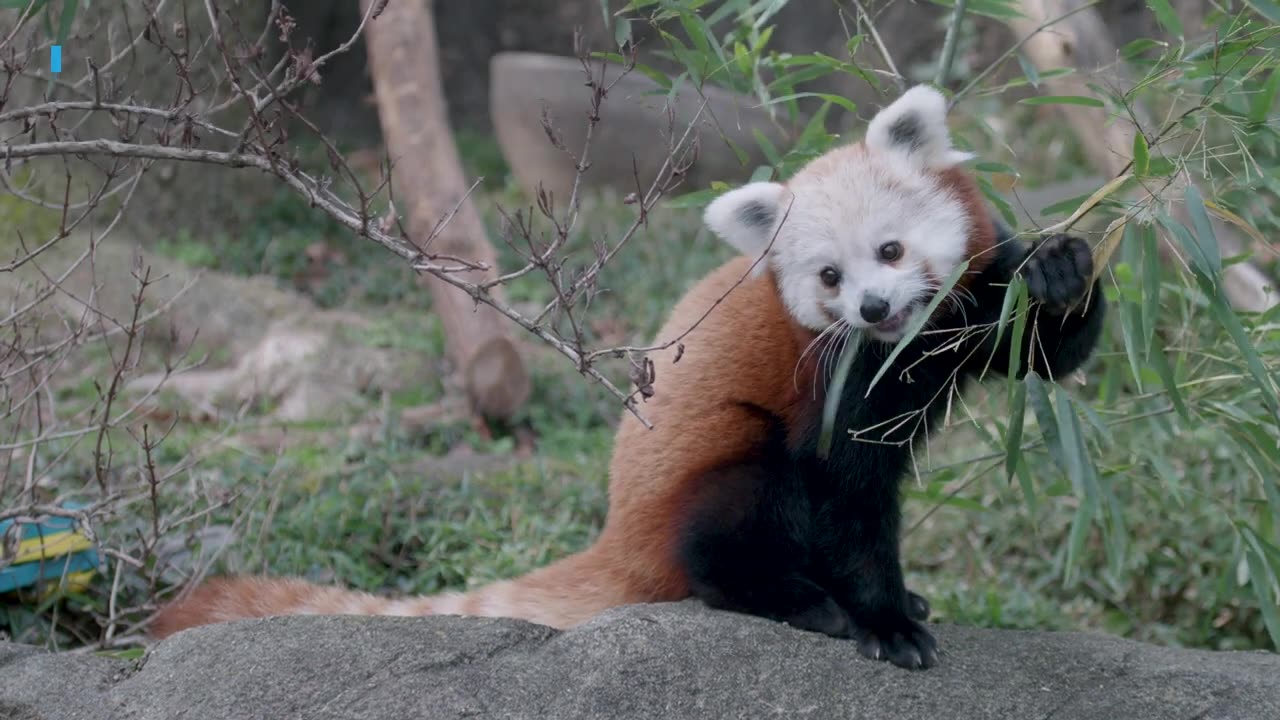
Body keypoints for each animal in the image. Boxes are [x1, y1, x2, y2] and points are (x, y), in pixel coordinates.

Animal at [149, 87, 1105, 671]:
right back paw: (798, 600)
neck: (907, 349)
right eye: (829, 277)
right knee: (739, 516)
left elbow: (1038, 348)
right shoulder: (833, 384)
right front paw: (883, 618)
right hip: (720, 469)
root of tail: (617, 532)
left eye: (893, 251)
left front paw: (1061, 272)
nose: (872, 309)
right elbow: (846, 498)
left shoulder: (967, 313)